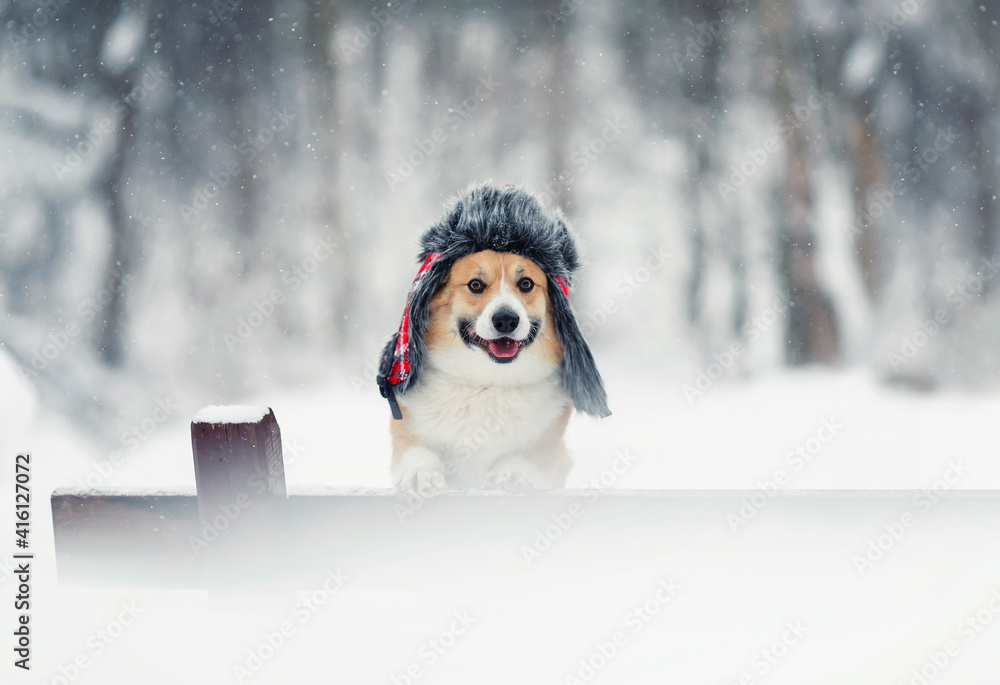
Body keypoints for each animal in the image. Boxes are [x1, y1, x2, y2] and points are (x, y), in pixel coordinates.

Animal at [376, 187, 608, 496]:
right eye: (475, 285)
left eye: (526, 284)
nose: (506, 320)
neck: (488, 382)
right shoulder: (406, 428)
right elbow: (418, 452)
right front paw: (420, 475)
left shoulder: (551, 449)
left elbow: (528, 456)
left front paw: (512, 473)